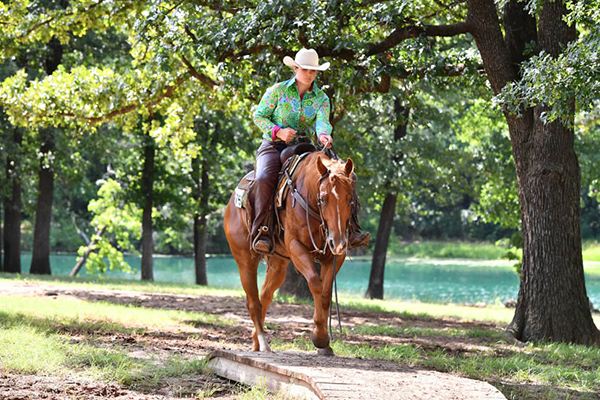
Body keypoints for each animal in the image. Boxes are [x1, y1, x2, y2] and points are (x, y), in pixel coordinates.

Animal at [225, 151, 356, 356]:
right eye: (323, 198)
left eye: (350, 199)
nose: (338, 242)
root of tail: (233, 201)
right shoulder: (297, 248)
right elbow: (316, 284)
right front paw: (319, 337)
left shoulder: (334, 256)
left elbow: (326, 293)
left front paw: (324, 341)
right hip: (245, 261)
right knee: (253, 302)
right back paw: (263, 342)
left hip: (278, 265)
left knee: (265, 296)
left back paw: (255, 341)